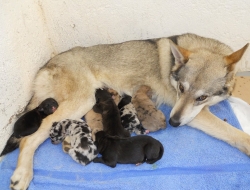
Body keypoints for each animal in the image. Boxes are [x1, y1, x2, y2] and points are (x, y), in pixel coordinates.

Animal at [9, 33, 250, 189]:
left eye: (202, 97)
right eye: (181, 89)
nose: (173, 123)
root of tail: (45, 67)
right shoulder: (191, 113)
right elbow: (235, 134)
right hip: (82, 102)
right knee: (28, 139)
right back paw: (22, 175)